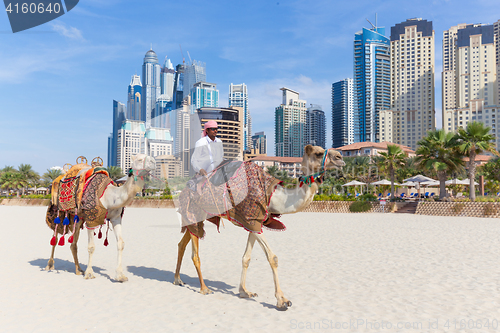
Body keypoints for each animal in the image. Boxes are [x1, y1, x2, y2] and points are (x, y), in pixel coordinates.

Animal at [175, 145, 344, 308]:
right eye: (318, 153)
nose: (340, 157)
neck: (273, 196)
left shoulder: (254, 222)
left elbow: (246, 258)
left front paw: (245, 292)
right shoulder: (252, 220)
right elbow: (272, 257)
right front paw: (282, 300)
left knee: (182, 243)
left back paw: (178, 280)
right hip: (194, 213)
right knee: (195, 253)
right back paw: (204, 288)